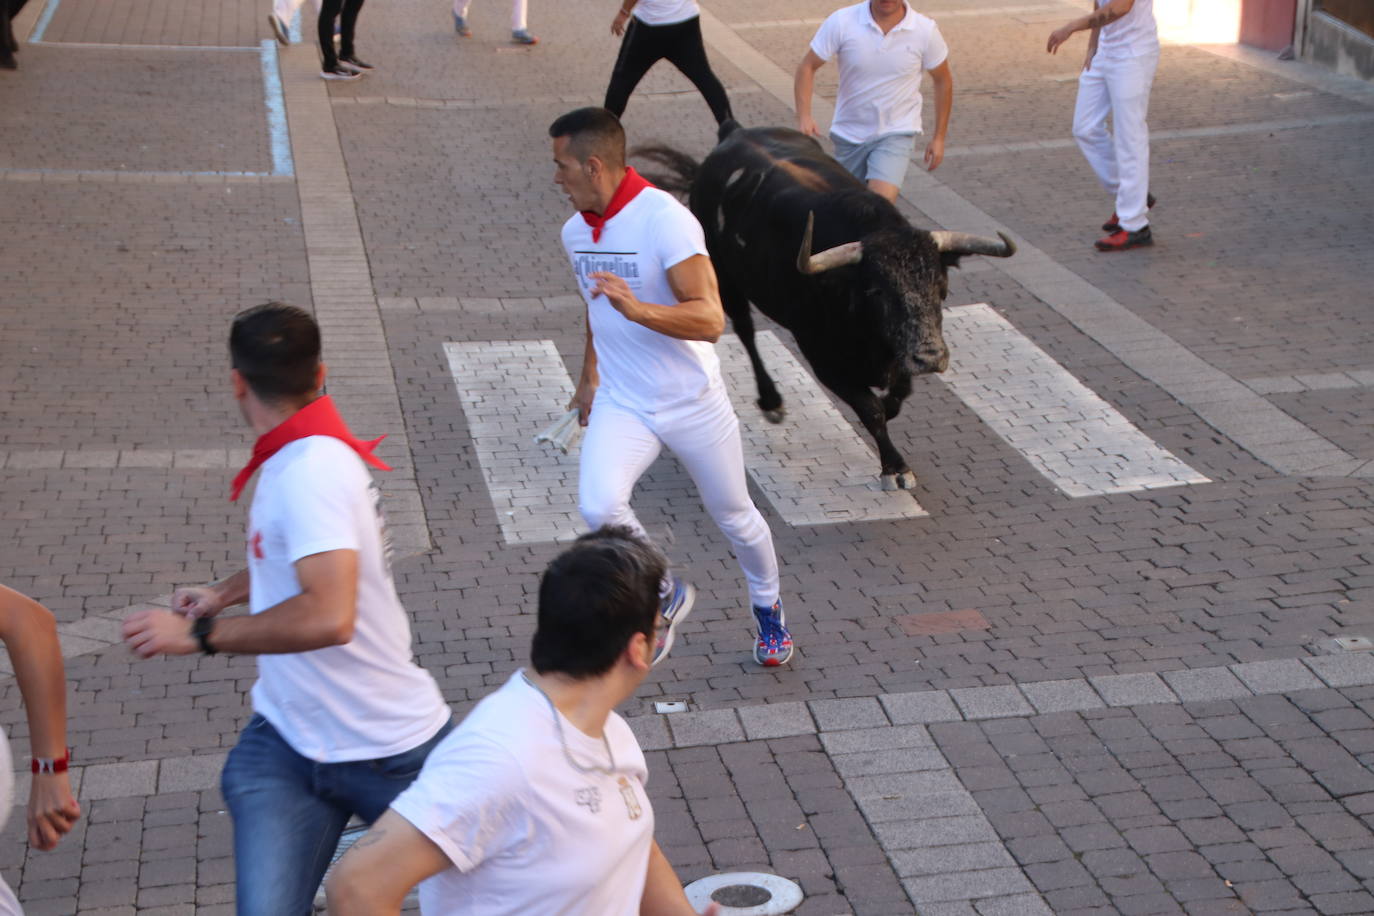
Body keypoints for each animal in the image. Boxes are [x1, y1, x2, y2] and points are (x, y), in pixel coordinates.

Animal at [637, 127, 1016, 494]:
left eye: (941, 286)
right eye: (877, 291)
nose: (930, 357)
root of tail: (733, 132)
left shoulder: (899, 355)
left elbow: (897, 395)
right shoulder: (824, 362)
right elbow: (871, 410)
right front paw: (894, 467)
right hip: (723, 277)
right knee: (745, 329)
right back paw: (770, 401)